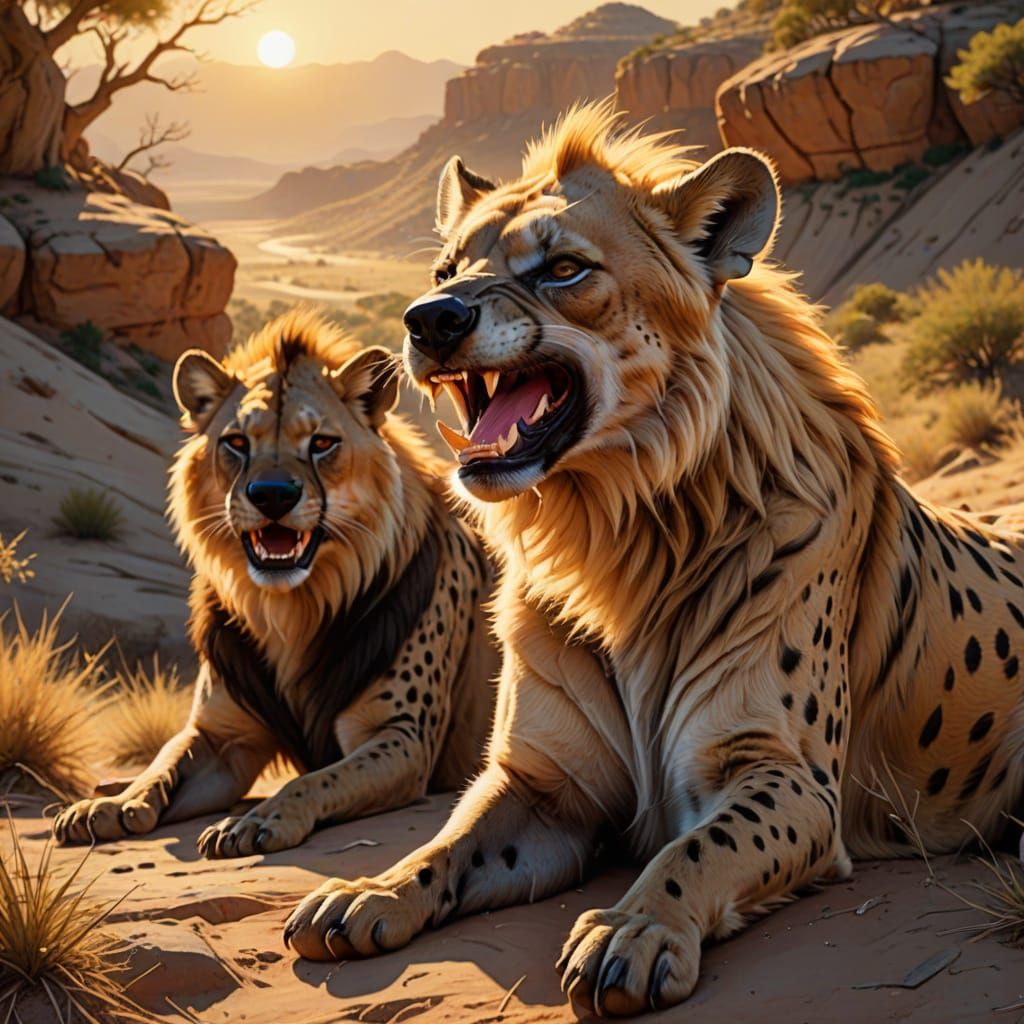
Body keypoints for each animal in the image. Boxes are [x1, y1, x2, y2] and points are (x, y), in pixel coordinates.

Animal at [53, 312, 497, 857]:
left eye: (322, 443)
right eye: (237, 443)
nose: (272, 495)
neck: (289, 612)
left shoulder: (402, 738)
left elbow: (315, 779)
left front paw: (254, 822)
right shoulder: (221, 736)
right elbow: (164, 761)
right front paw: (111, 806)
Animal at [283, 104, 1024, 1014]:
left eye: (563, 268)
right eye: (444, 269)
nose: (428, 321)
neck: (613, 537)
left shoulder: (785, 775)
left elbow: (696, 851)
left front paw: (630, 933)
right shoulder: (544, 784)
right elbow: (446, 841)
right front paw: (367, 894)